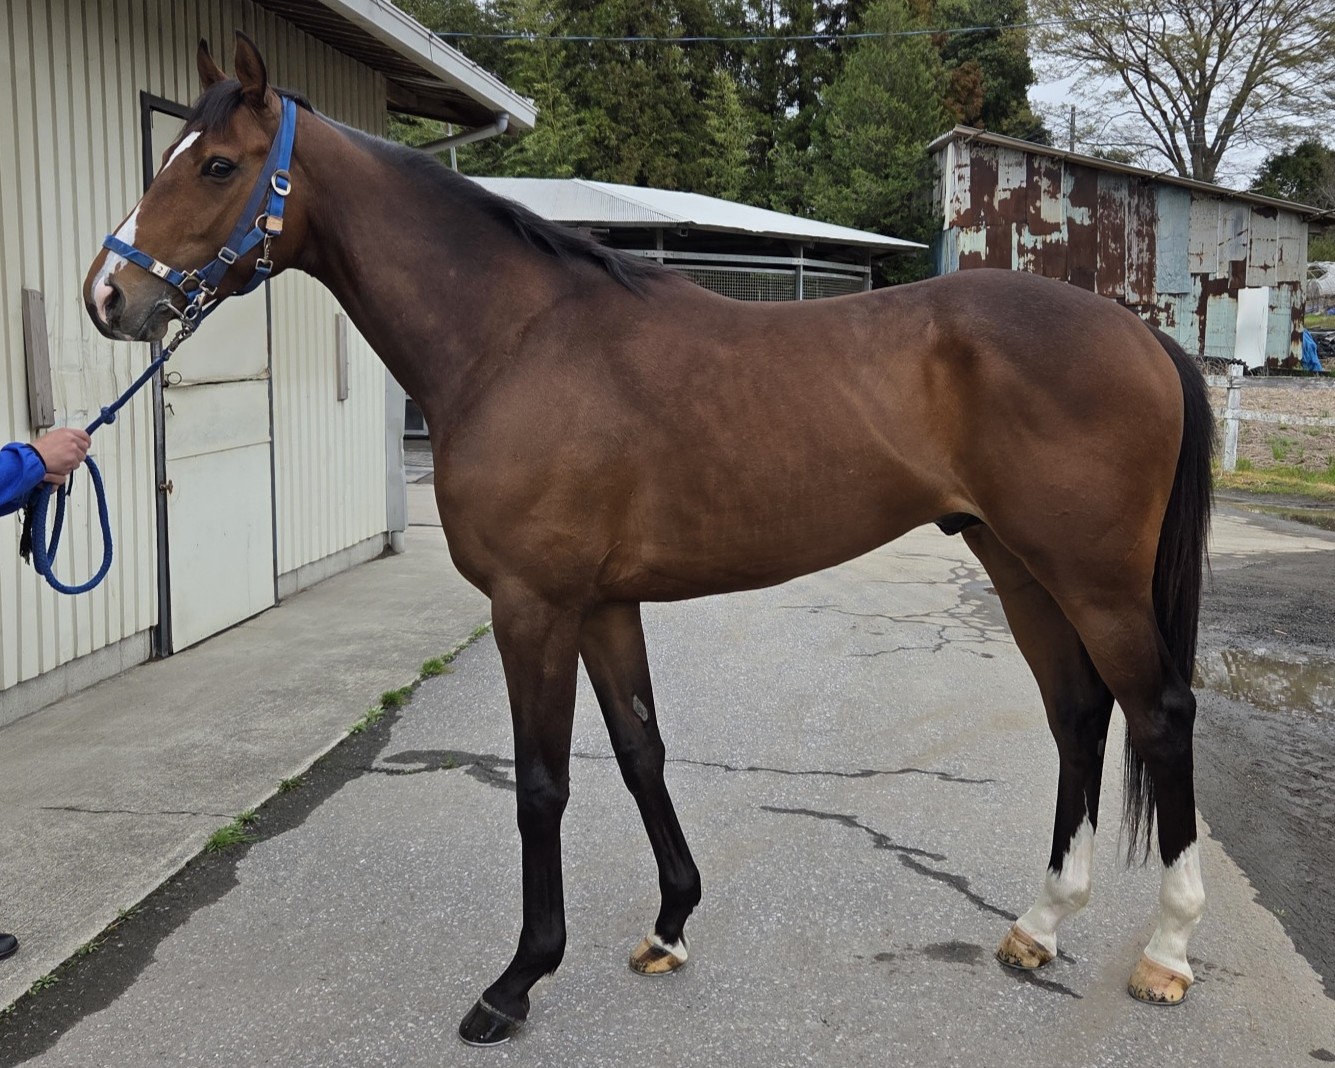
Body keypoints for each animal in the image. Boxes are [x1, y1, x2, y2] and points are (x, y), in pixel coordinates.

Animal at [83, 33, 1214, 1046]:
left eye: (218, 165)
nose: (108, 296)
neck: (513, 340)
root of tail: (1140, 331)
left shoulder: (532, 607)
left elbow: (543, 785)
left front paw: (517, 981)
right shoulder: (602, 604)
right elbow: (639, 751)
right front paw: (670, 925)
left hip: (1093, 579)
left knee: (1157, 715)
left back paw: (1167, 951)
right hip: (1016, 565)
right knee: (1078, 715)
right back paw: (1040, 923)